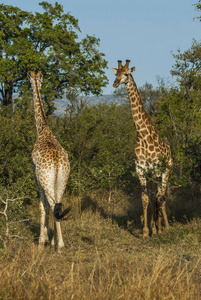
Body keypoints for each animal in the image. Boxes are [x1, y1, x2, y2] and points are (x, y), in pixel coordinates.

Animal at [112, 60, 172, 237]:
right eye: (116, 73)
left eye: (126, 74)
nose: (115, 83)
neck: (142, 134)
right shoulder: (141, 169)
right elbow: (145, 199)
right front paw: (146, 231)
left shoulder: (156, 169)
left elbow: (157, 198)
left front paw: (158, 228)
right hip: (154, 174)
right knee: (155, 197)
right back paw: (155, 226)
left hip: (166, 170)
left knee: (162, 196)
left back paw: (165, 226)